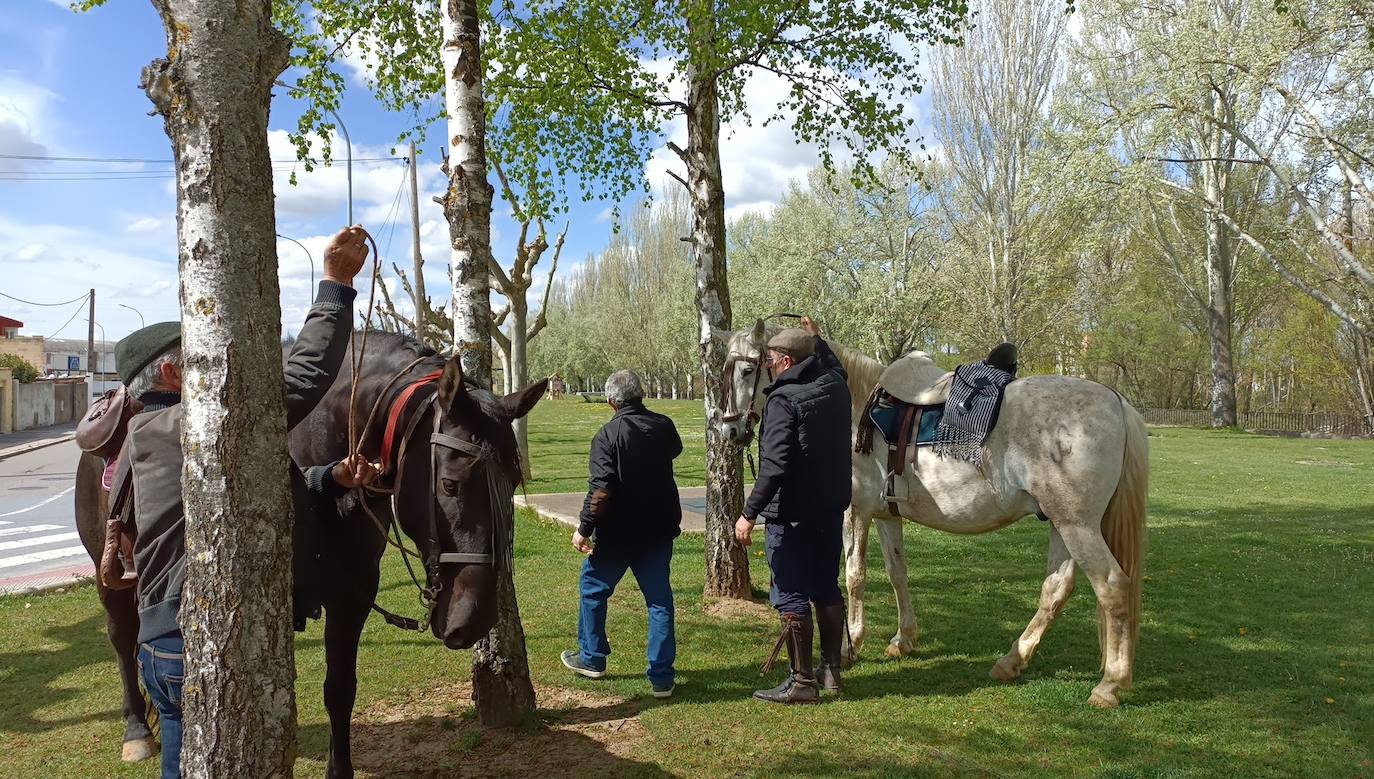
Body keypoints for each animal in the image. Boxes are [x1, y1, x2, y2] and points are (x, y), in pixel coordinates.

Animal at [75, 332, 544, 774]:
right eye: (450, 484)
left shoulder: (354, 589)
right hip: (109, 574)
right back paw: (136, 730)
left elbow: (340, 688)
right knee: (122, 638)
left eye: (513, 481)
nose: (477, 618)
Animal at [719, 320, 1148, 708]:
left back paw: (1110, 684)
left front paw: (849, 645)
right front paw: (903, 639)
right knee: (1056, 590)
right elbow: (897, 574)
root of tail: (1114, 400)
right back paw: (1012, 661)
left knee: (1113, 587)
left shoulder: (855, 513)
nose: (730, 431)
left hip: (1078, 527)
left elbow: (854, 577)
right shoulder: (887, 516)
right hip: (1061, 525)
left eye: (747, 369)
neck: (852, 405)